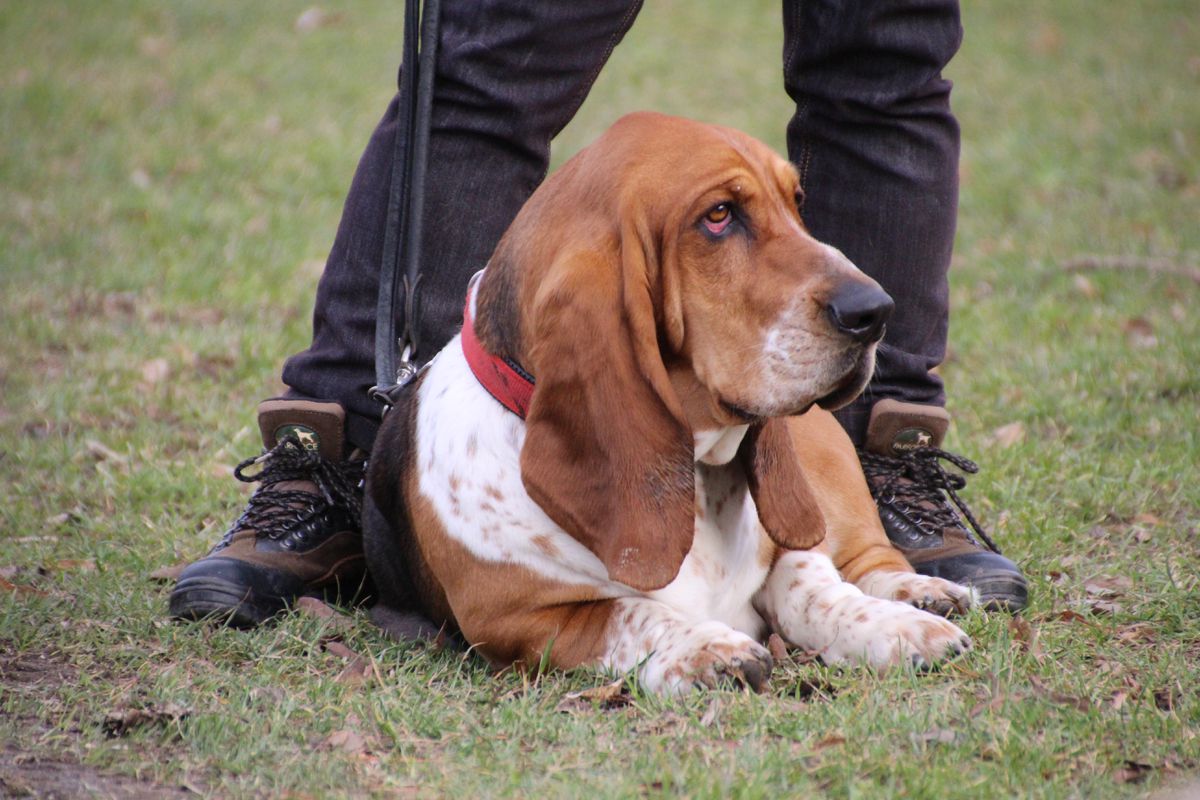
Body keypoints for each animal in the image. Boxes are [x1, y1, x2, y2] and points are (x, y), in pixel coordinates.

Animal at [364, 110, 974, 695]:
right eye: (719, 215)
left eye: (796, 202)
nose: (876, 311)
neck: (698, 464)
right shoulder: (522, 621)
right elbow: (630, 614)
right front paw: (708, 650)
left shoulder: (795, 546)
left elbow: (814, 587)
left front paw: (895, 627)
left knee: (870, 553)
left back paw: (922, 593)